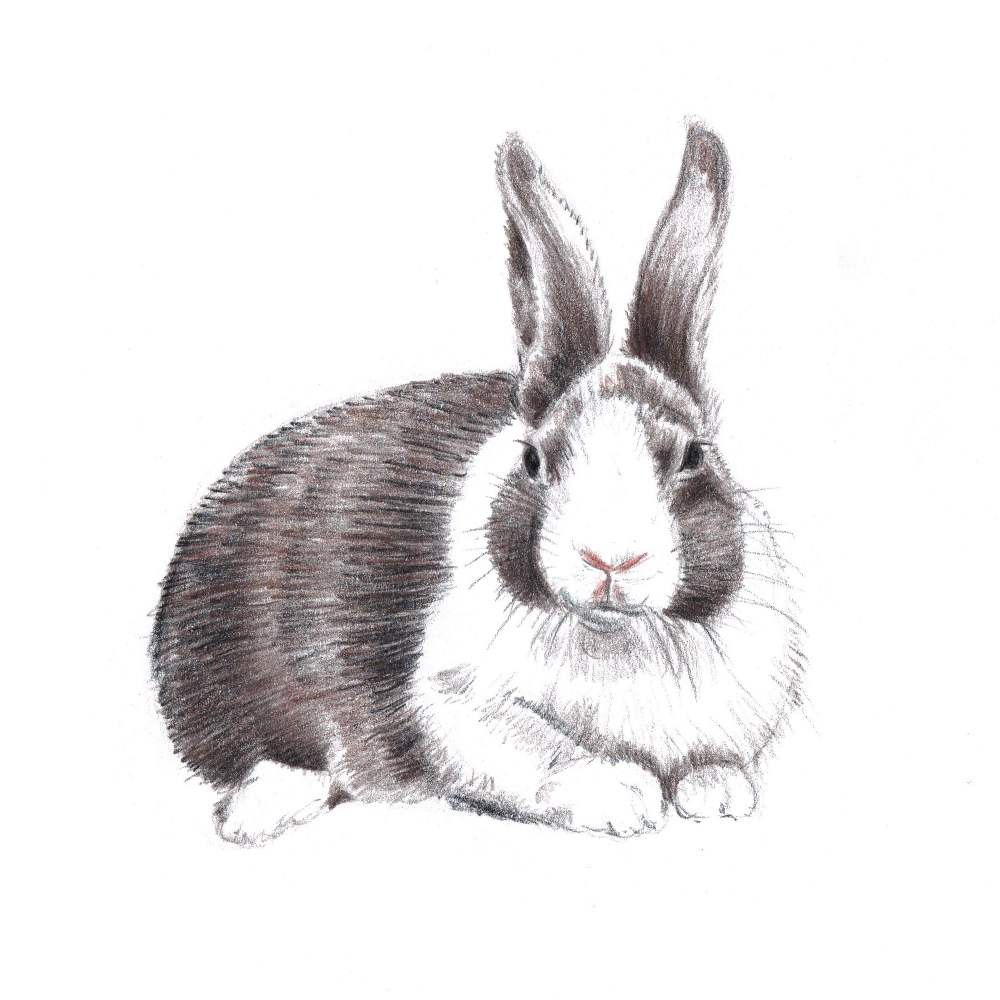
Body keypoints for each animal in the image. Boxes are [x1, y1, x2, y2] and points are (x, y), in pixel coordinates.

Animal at [151, 122, 804, 845]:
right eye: (536, 461)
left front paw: (719, 791)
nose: (610, 560)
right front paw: (621, 793)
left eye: (692, 456)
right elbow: (534, 749)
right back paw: (260, 811)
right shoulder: (453, 703)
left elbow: (711, 759)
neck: (616, 632)